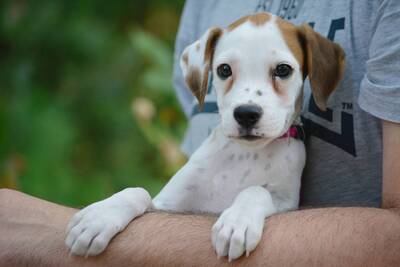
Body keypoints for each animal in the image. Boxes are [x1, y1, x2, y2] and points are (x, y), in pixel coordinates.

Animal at [65, 12, 344, 262]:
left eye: (283, 70)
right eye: (224, 70)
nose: (246, 114)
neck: (245, 154)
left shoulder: (285, 203)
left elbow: (256, 190)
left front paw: (237, 221)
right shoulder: (167, 205)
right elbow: (139, 191)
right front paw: (100, 216)